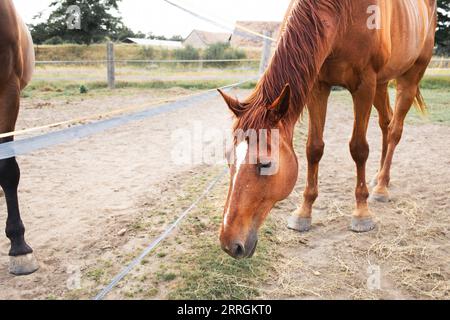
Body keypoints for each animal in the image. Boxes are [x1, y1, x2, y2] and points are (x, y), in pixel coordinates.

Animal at [218, 0, 436, 258]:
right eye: (228, 159)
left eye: (266, 164)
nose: (230, 244)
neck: (342, 14)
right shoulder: (318, 85)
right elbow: (314, 148)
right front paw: (304, 212)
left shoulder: (364, 84)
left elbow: (359, 149)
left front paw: (361, 213)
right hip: (382, 84)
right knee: (386, 122)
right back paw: (379, 178)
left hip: (409, 77)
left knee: (395, 130)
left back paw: (382, 186)